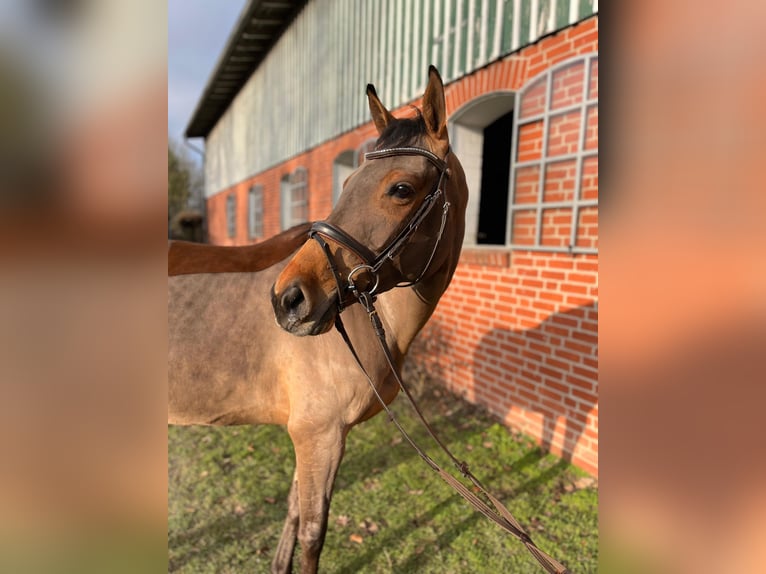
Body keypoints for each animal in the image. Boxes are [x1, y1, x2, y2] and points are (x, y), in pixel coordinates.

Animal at [168, 66, 468, 573]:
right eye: (345, 186)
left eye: (401, 189)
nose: (288, 299)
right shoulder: (320, 434)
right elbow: (312, 533)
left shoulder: (308, 434)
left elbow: (292, 514)